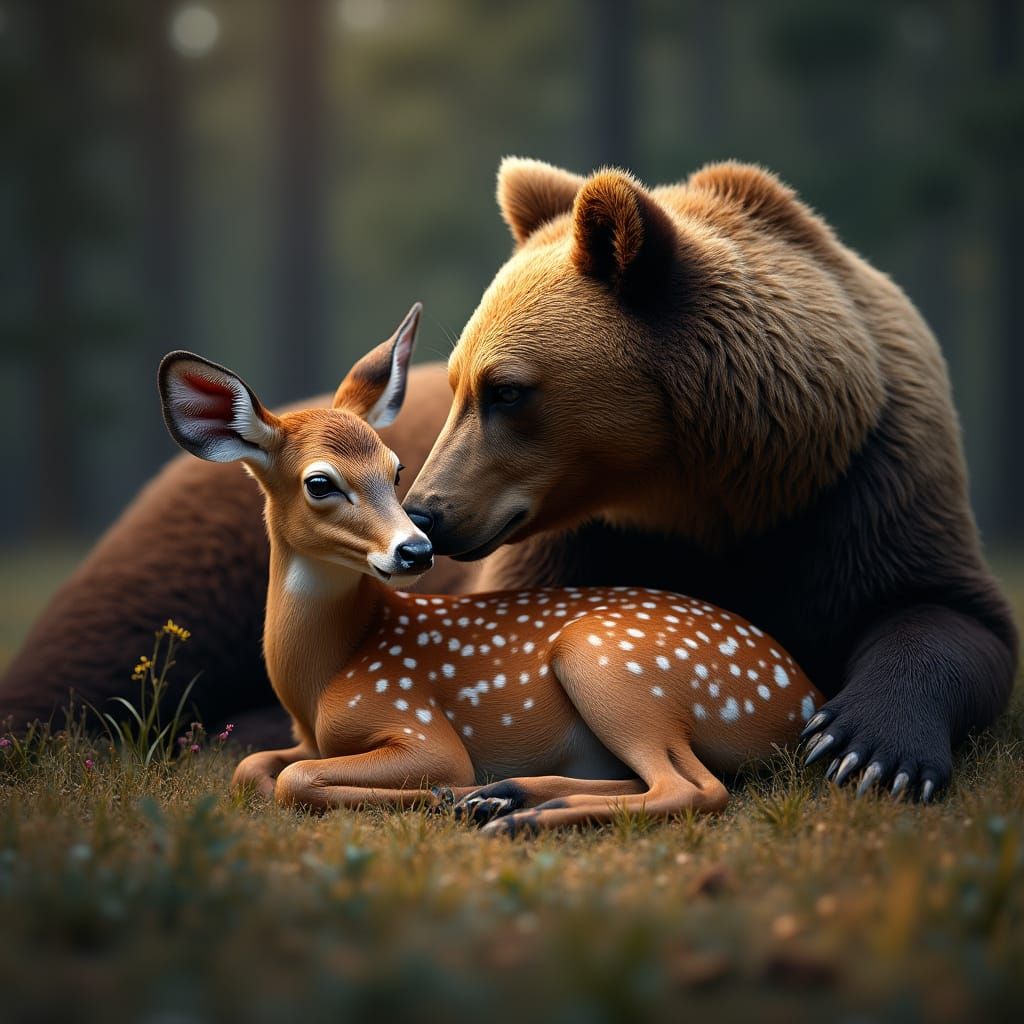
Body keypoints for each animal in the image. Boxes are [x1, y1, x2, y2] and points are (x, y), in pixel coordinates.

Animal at [158, 304, 825, 835]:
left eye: (395, 469)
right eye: (319, 483)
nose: (416, 550)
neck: (321, 678)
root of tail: (805, 697)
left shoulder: (414, 721)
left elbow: (295, 778)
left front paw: (441, 793)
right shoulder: (304, 737)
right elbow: (253, 767)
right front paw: (461, 795)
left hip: (614, 668)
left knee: (696, 788)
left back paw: (509, 812)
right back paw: (506, 795)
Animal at [402, 157, 1019, 800]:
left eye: (505, 390)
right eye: (459, 385)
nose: (423, 513)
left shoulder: (866, 481)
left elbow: (945, 609)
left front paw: (865, 749)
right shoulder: (578, 539)